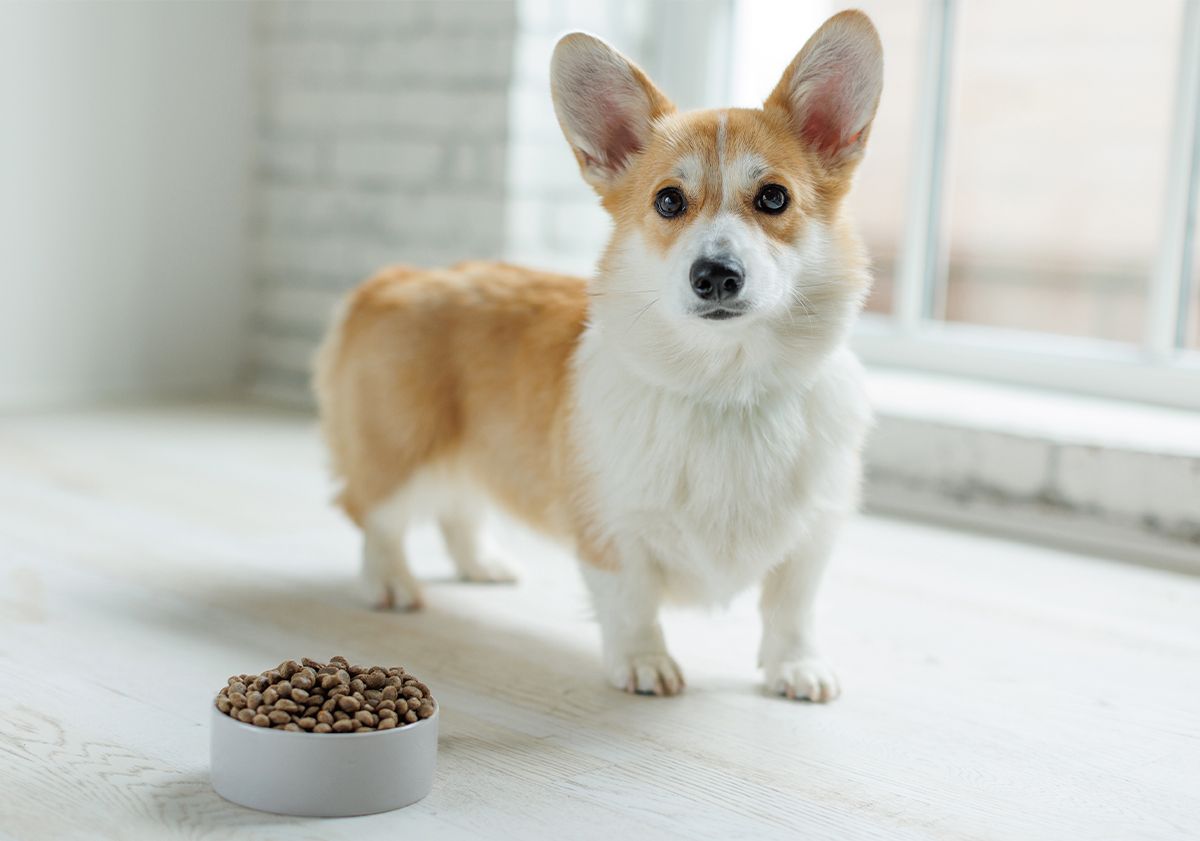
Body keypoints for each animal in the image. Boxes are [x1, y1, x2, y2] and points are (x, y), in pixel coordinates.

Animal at [314, 9, 888, 700]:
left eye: (774, 198)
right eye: (668, 200)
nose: (715, 275)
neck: (726, 383)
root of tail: (392, 279)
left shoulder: (813, 533)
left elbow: (791, 607)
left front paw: (797, 667)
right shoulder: (611, 526)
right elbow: (631, 601)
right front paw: (645, 664)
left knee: (460, 506)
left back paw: (482, 563)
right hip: (402, 452)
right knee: (373, 513)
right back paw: (390, 582)